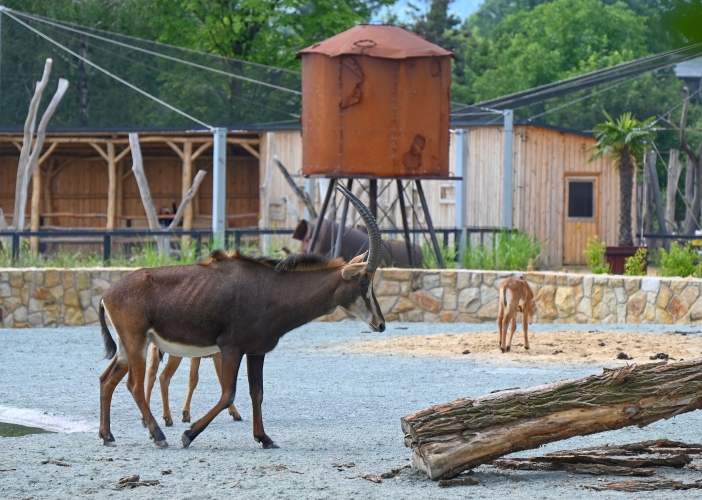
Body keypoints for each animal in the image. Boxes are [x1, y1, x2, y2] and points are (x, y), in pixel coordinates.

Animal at [97, 184, 388, 450]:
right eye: (364, 282)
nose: (381, 324)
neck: (271, 289)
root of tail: (107, 293)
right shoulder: (231, 348)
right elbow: (228, 393)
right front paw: (188, 434)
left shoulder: (256, 351)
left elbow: (256, 392)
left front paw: (264, 438)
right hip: (137, 342)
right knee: (134, 385)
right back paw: (158, 435)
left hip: (126, 347)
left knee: (107, 379)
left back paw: (107, 435)